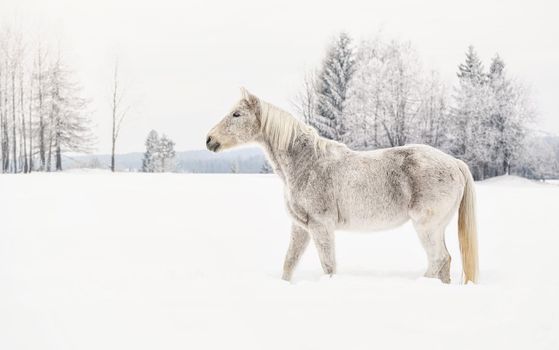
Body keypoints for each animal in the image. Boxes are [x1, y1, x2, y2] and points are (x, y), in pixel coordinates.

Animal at [208, 89, 480, 284]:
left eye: (236, 114)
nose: (210, 140)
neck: (307, 163)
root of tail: (454, 163)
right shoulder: (301, 227)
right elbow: (289, 263)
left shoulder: (321, 226)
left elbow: (328, 265)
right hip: (437, 228)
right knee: (445, 263)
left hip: (426, 226)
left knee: (438, 260)